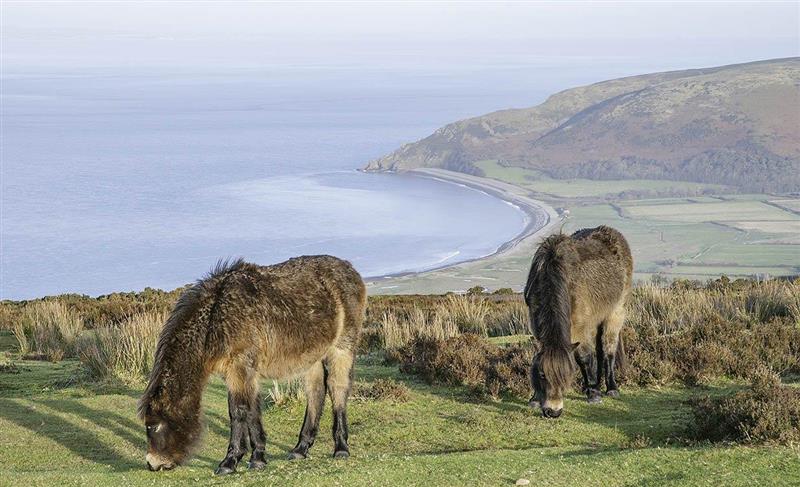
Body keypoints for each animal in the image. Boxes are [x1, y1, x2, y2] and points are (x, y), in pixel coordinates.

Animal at [138, 258, 366, 474]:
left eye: (153, 426)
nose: (151, 463)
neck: (216, 316)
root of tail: (350, 269)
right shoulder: (243, 373)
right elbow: (252, 411)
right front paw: (257, 458)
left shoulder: (240, 368)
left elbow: (237, 411)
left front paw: (230, 461)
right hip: (313, 357)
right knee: (315, 393)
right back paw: (301, 449)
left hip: (342, 348)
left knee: (338, 389)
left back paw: (341, 448)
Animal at [524, 227, 632, 418]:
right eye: (542, 374)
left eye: (567, 375)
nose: (553, 411)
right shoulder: (536, 323)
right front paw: (535, 398)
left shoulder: (579, 326)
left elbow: (584, 358)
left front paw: (594, 395)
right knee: (599, 350)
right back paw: (593, 385)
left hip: (615, 313)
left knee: (608, 350)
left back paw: (610, 388)